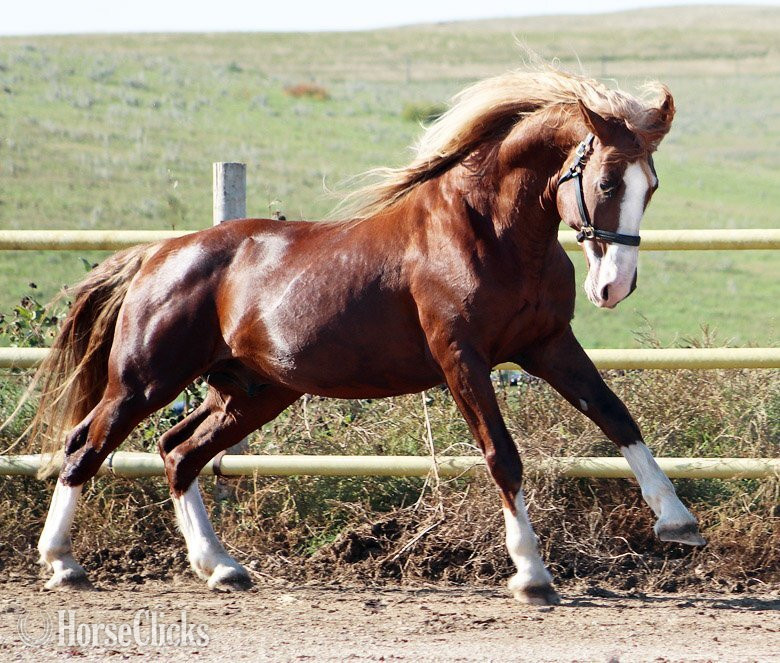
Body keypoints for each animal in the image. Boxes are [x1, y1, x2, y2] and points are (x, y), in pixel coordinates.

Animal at [29, 66, 705, 606]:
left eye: (652, 186)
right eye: (609, 183)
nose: (614, 287)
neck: (490, 233)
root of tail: (158, 253)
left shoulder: (548, 346)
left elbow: (617, 417)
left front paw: (677, 522)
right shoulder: (462, 358)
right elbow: (502, 455)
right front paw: (531, 575)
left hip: (253, 391)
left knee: (177, 451)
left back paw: (220, 567)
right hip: (144, 380)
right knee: (85, 444)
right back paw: (63, 563)